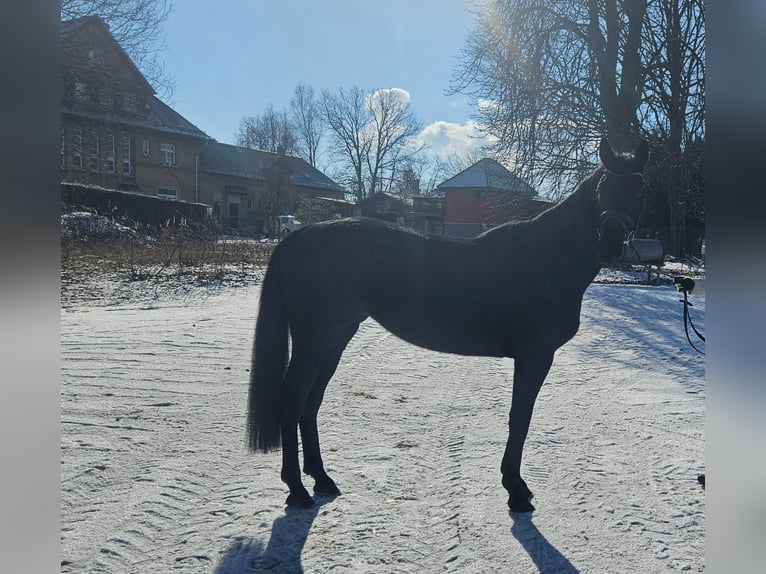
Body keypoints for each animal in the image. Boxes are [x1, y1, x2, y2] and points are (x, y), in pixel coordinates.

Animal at [249, 138, 652, 512]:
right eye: (602, 189)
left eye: (639, 188)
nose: (610, 245)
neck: (547, 257)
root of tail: (300, 235)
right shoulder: (535, 356)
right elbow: (520, 418)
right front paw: (515, 490)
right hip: (315, 340)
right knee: (292, 399)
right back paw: (297, 490)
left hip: (335, 337)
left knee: (311, 401)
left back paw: (322, 479)